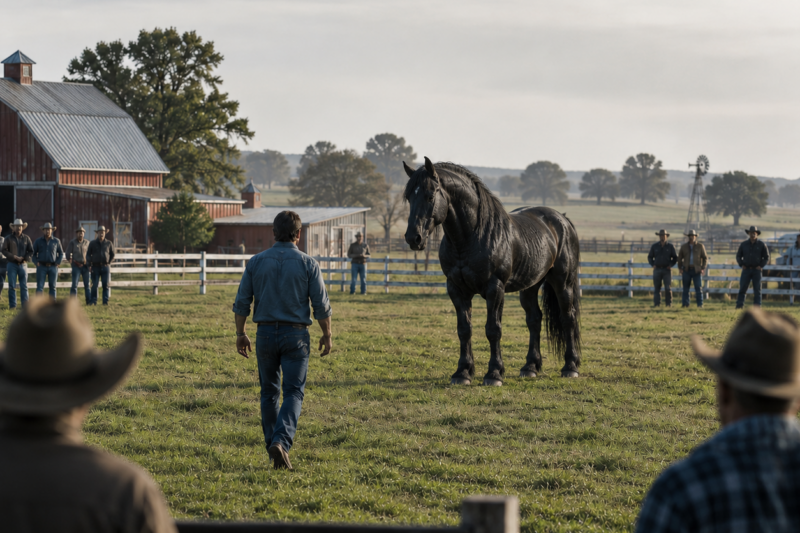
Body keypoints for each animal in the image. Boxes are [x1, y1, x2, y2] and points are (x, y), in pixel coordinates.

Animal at [403, 157, 582, 385]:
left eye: (430, 195)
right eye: (409, 197)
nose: (413, 238)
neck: (470, 238)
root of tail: (563, 220)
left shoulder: (494, 289)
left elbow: (493, 329)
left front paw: (494, 373)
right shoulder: (456, 288)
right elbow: (464, 329)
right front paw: (463, 372)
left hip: (563, 282)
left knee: (568, 318)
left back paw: (570, 366)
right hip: (530, 286)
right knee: (534, 320)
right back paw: (530, 367)